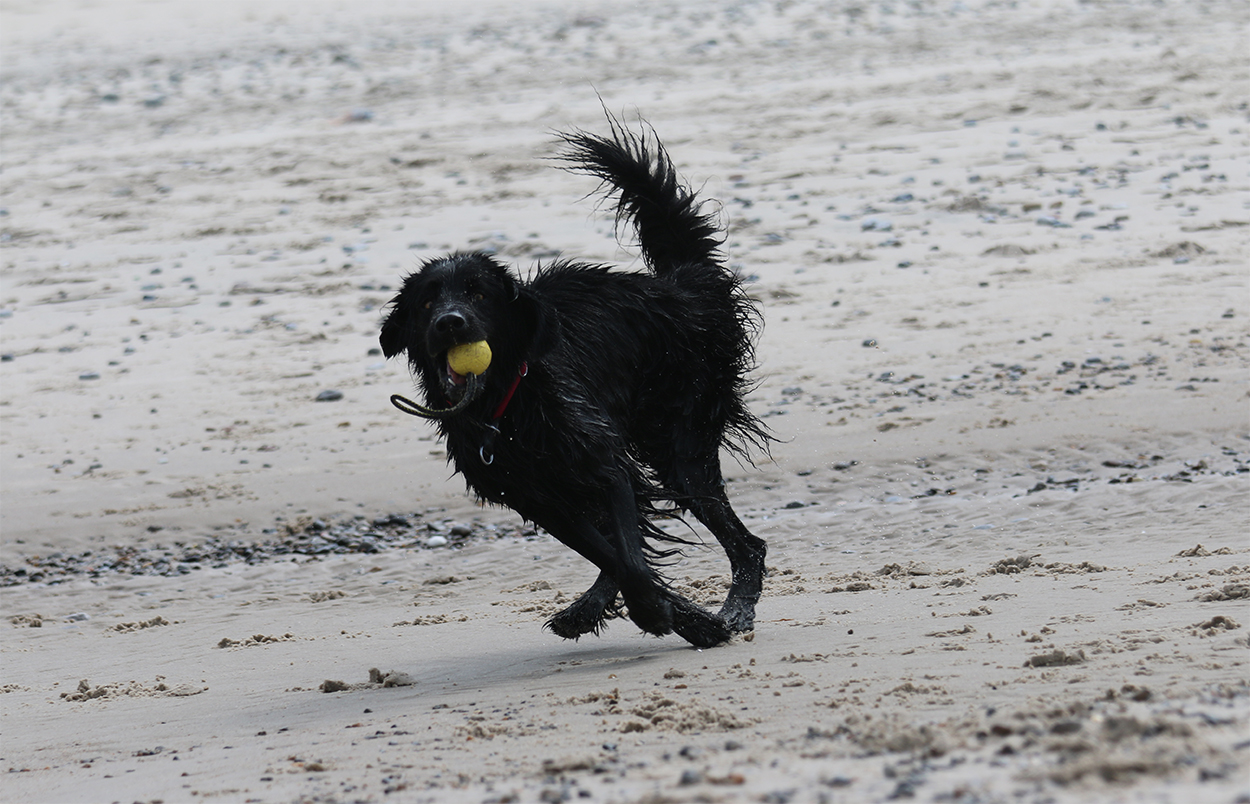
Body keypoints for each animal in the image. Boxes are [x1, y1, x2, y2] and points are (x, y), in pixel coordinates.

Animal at [379, 115, 770, 648]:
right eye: (426, 301)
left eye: (478, 294)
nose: (450, 323)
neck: (507, 405)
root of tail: (682, 285)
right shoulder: (539, 500)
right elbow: (614, 556)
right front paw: (679, 616)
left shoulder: (606, 464)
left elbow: (628, 555)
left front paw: (661, 613)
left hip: (680, 444)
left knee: (747, 544)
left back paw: (732, 610)